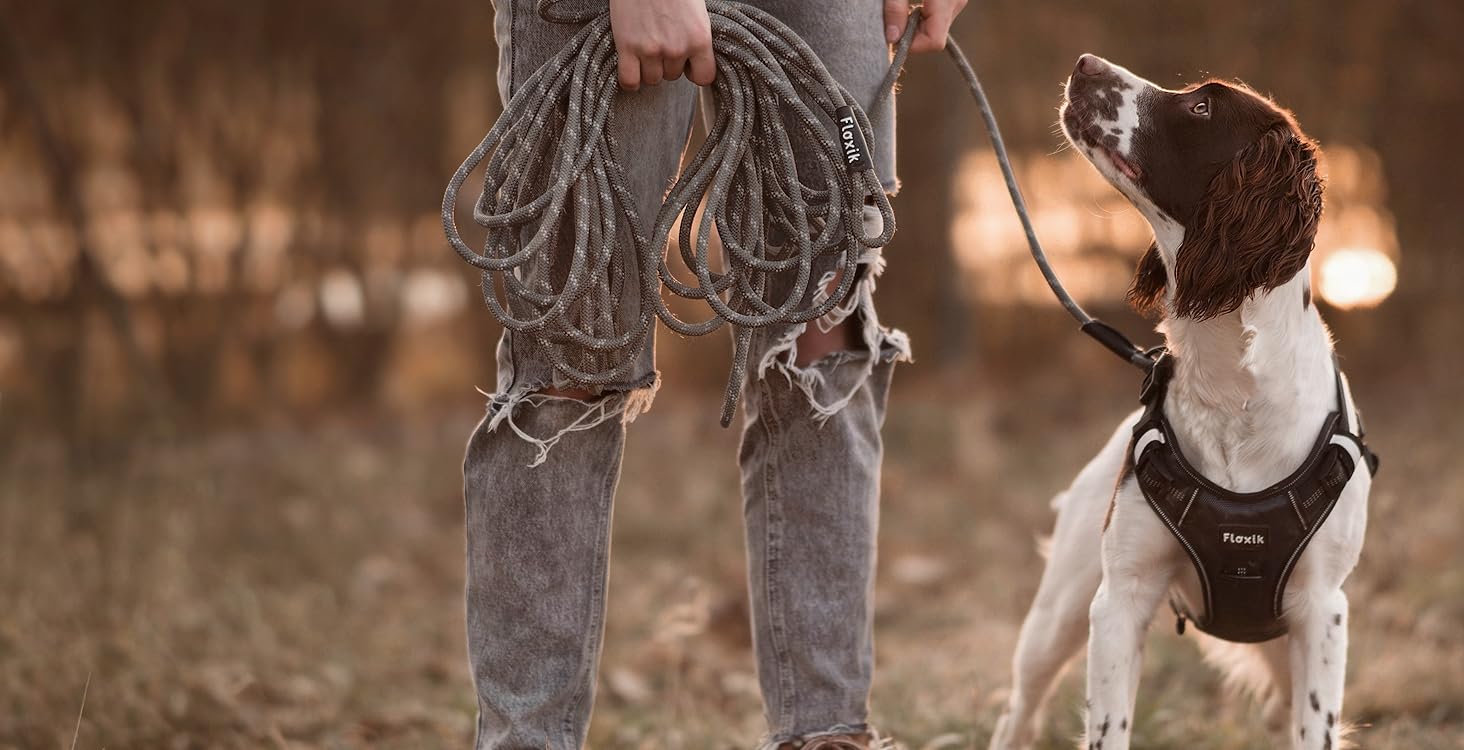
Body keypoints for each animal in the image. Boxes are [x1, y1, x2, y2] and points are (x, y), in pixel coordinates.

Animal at [989, 54, 1376, 750]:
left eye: (1201, 108)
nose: (1085, 63)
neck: (1231, 390)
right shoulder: (1119, 599)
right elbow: (1108, 726)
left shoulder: (1322, 610)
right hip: (1055, 618)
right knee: (1019, 712)